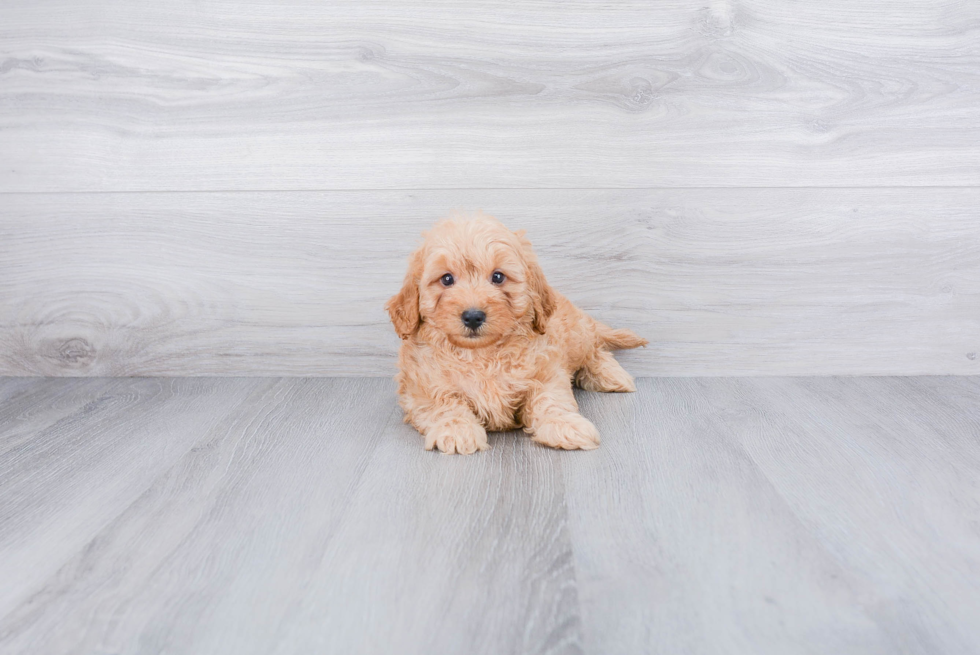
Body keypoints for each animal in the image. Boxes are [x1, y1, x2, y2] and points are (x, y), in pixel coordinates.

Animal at [386, 213, 648, 454]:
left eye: (498, 277)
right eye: (447, 279)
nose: (473, 316)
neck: (481, 353)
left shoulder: (547, 372)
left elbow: (549, 399)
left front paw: (564, 425)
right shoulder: (420, 389)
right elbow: (444, 402)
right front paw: (457, 429)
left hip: (576, 334)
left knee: (595, 348)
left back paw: (612, 375)